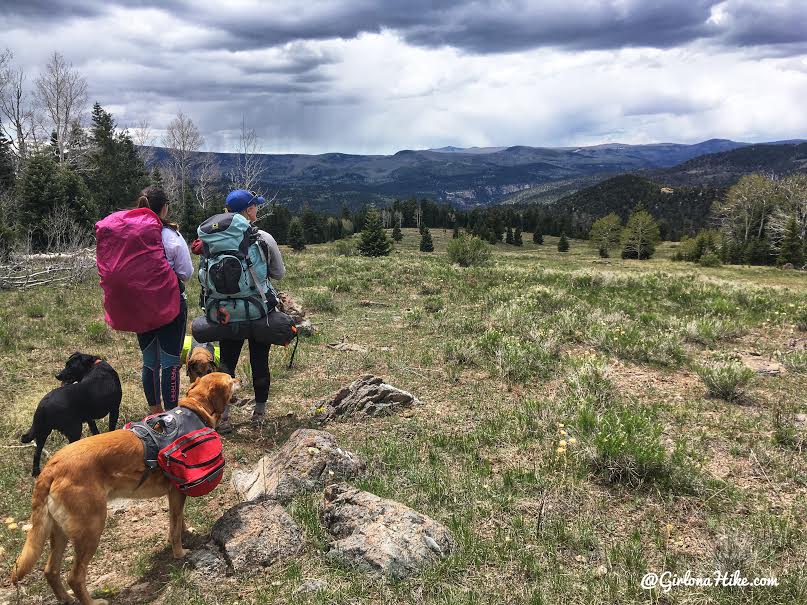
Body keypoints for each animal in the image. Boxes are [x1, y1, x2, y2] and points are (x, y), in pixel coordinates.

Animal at [10, 370, 237, 600]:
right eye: (230, 379)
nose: (241, 379)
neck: (195, 408)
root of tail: (51, 467)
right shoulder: (177, 491)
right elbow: (174, 529)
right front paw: (179, 552)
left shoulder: (175, 494)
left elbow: (178, 519)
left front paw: (185, 532)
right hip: (91, 528)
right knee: (74, 577)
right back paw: (94, 602)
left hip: (59, 532)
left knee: (51, 571)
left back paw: (67, 599)